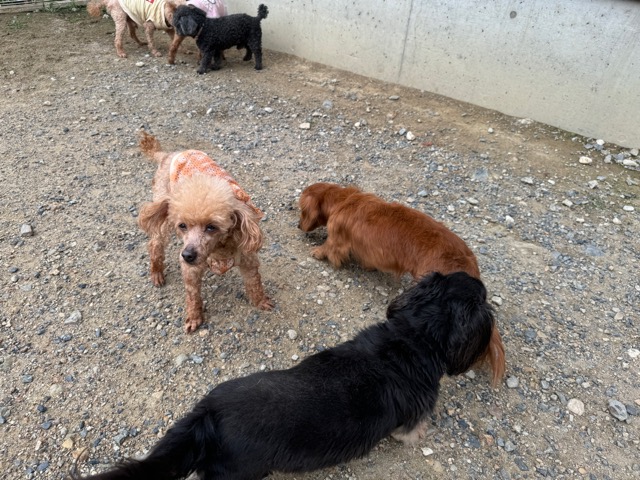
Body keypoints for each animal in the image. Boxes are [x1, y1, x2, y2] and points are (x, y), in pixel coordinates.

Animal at [137, 131, 273, 333]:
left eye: (211, 227)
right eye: (182, 226)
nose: (187, 255)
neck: (220, 248)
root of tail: (167, 155)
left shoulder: (248, 260)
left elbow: (255, 283)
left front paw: (261, 301)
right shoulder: (190, 270)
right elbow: (193, 295)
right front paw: (194, 318)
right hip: (163, 213)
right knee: (155, 244)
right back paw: (156, 272)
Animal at [298, 182, 506, 386]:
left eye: (302, 210)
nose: (299, 226)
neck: (344, 200)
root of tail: (469, 262)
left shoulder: (337, 237)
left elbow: (329, 246)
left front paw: (318, 252)